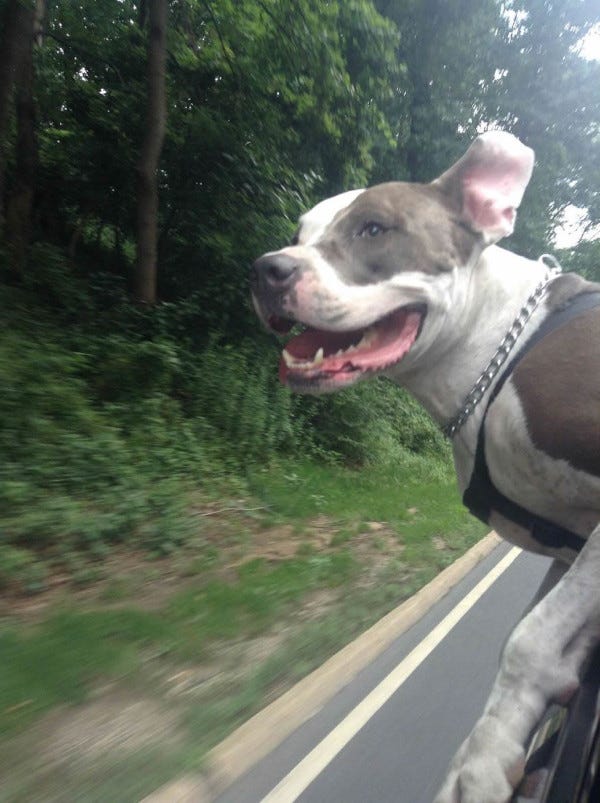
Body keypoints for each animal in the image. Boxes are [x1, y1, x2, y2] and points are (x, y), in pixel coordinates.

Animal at [250, 133, 600, 803]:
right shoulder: (569, 548)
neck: (498, 348)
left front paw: (483, 762)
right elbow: (535, 637)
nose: (267, 269)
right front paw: (489, 752)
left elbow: (530, 639)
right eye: (300, 231)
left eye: (374, 228)